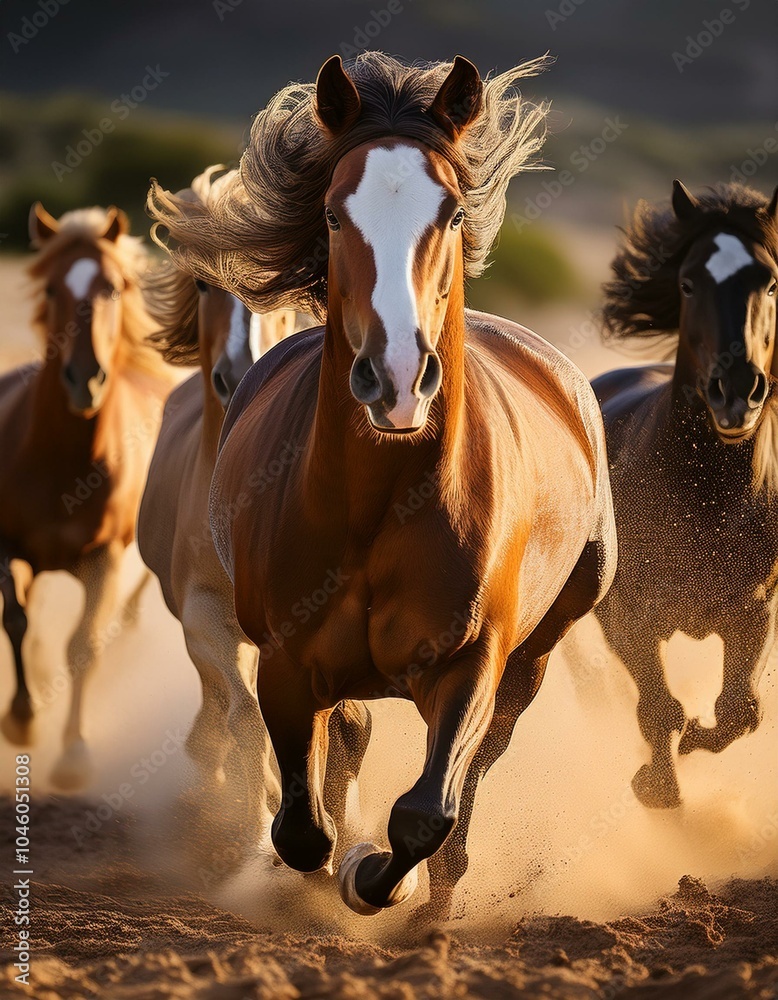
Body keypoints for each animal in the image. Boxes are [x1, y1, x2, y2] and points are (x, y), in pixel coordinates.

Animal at [0, 203, 175, 788]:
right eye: (52, 288)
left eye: (112, 288)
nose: (85, 379)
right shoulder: (6, 546)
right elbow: (17, 620)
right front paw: (22, 720)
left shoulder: (105, 558)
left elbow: (83, 646)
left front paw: (74, 753)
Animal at [149, 52, 617, 921]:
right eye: (335, 216)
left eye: (455, 213)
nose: (397, 379)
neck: (379, 503)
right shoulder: (285, 660)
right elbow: (303, 824)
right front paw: (324, 863)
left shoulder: (471, 663)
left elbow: (425, 811)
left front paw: (374, 877)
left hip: (539, 651)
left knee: (481, 761)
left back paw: (440, 895)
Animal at [592, 180, 778, 809]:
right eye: (689, 282)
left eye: (772, 282)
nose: (737, 390)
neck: (709, 498)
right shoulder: (629, 615)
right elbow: (659, 709)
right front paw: (657, 788)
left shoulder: (753, 612)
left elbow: (742, 710)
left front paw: (699, 737)